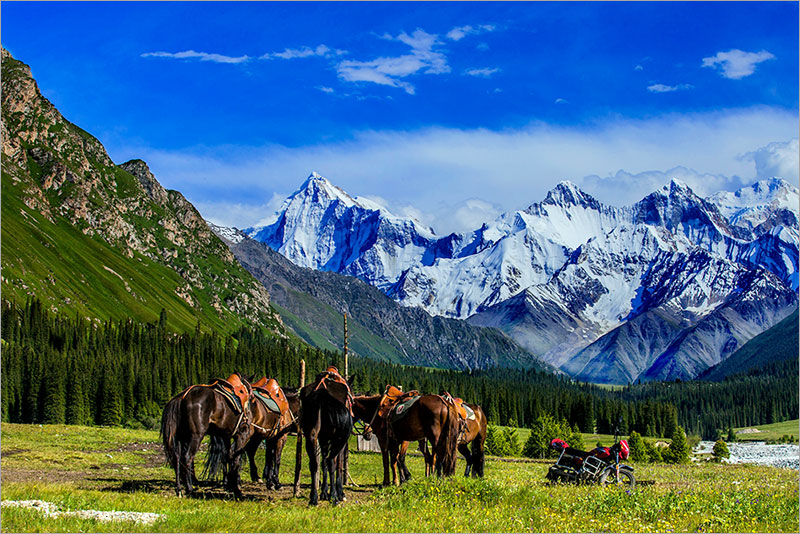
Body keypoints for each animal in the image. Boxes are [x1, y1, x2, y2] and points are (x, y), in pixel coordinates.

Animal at [298, 370, 352, 508]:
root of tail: (321, 395)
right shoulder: (340, 442)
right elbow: (338, 465)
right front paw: (339, 493)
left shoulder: (323, 440)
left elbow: (322, 463)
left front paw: (323, 492)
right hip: (338, 440)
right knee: (331, 461)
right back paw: (334, 496)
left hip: (311, 436)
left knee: (315, 463)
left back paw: (314, 497)